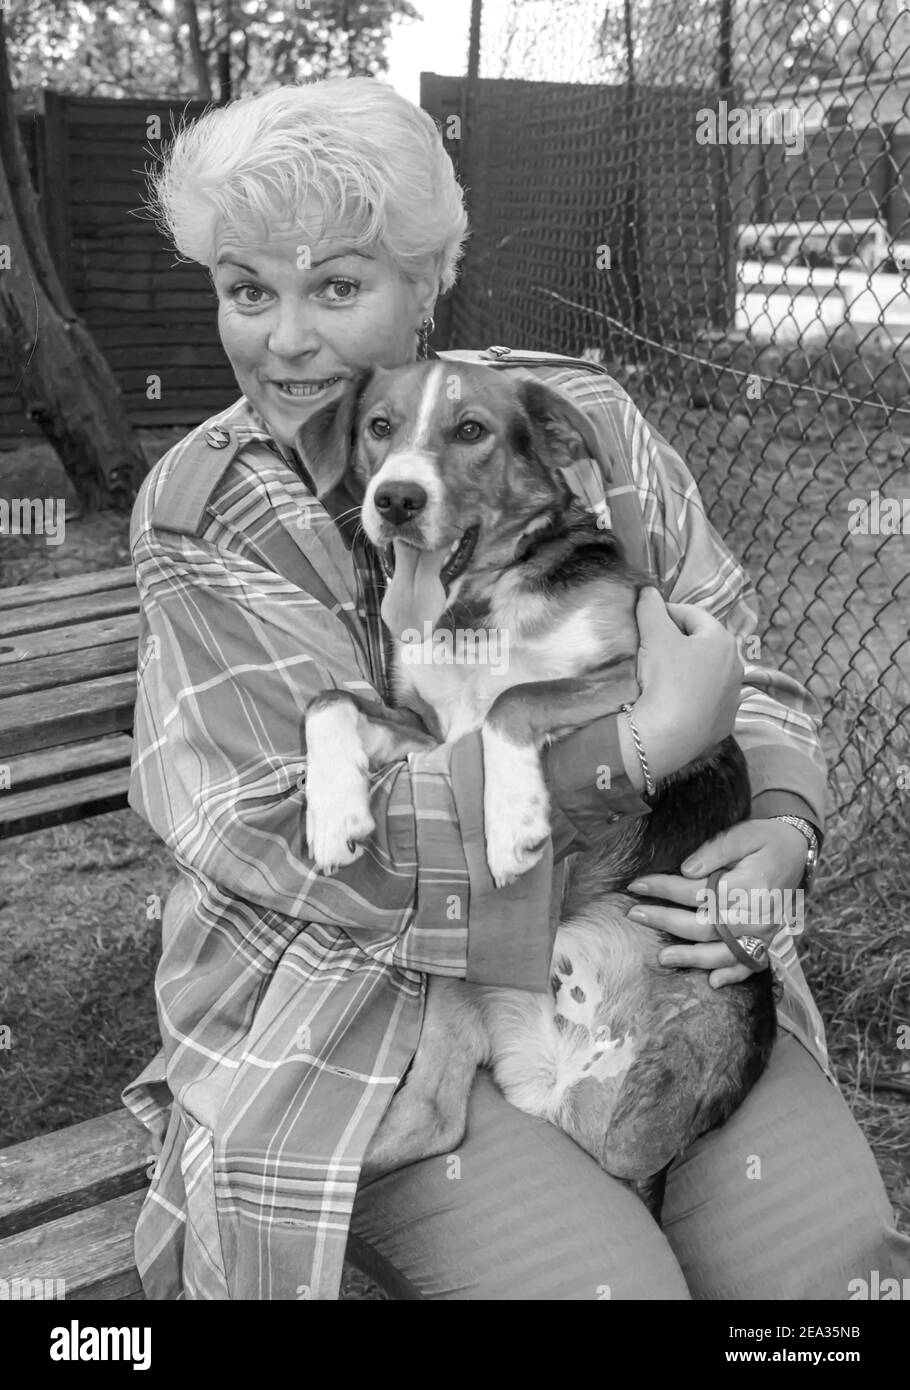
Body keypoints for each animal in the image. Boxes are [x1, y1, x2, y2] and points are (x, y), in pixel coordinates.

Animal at [301, 364, 778, 1212]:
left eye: (472, 431)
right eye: (379, 426)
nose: (395, 500)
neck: (477, 604)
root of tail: (560, 1075)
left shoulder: (637, 674)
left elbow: (514, 699)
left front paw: (513, 823)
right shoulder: (431, 736)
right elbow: (330, 700)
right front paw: (332, 816)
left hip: (671, 1068)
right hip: (452, 978)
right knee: (433, 1120)